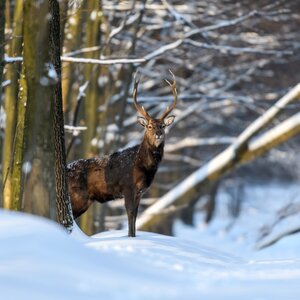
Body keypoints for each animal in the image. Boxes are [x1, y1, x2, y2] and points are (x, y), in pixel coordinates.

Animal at [67, 71, 177, 237]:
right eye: (149, 126)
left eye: (163, 126)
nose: (158, 134)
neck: (144, 166)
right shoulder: (128, 187)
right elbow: (130, 215)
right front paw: (130, 237)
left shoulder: (140, 192)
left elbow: (135, 216)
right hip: (78, 197)